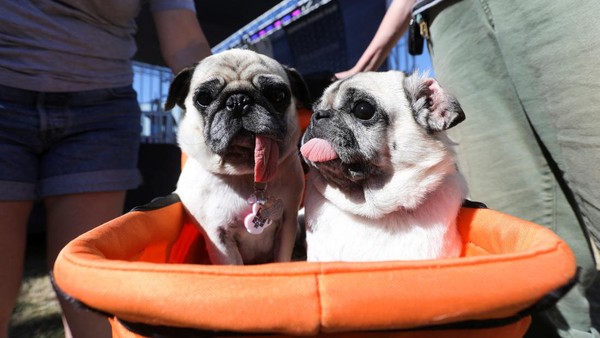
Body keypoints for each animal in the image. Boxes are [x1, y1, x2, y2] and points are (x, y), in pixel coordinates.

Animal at [164, 48, 310, 266]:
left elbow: (281, 258)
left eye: (277, 95)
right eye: (203, 98)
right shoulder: (219, 240)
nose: (238, 101)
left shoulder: (287, 224)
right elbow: (234, 265)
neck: (243, 174)